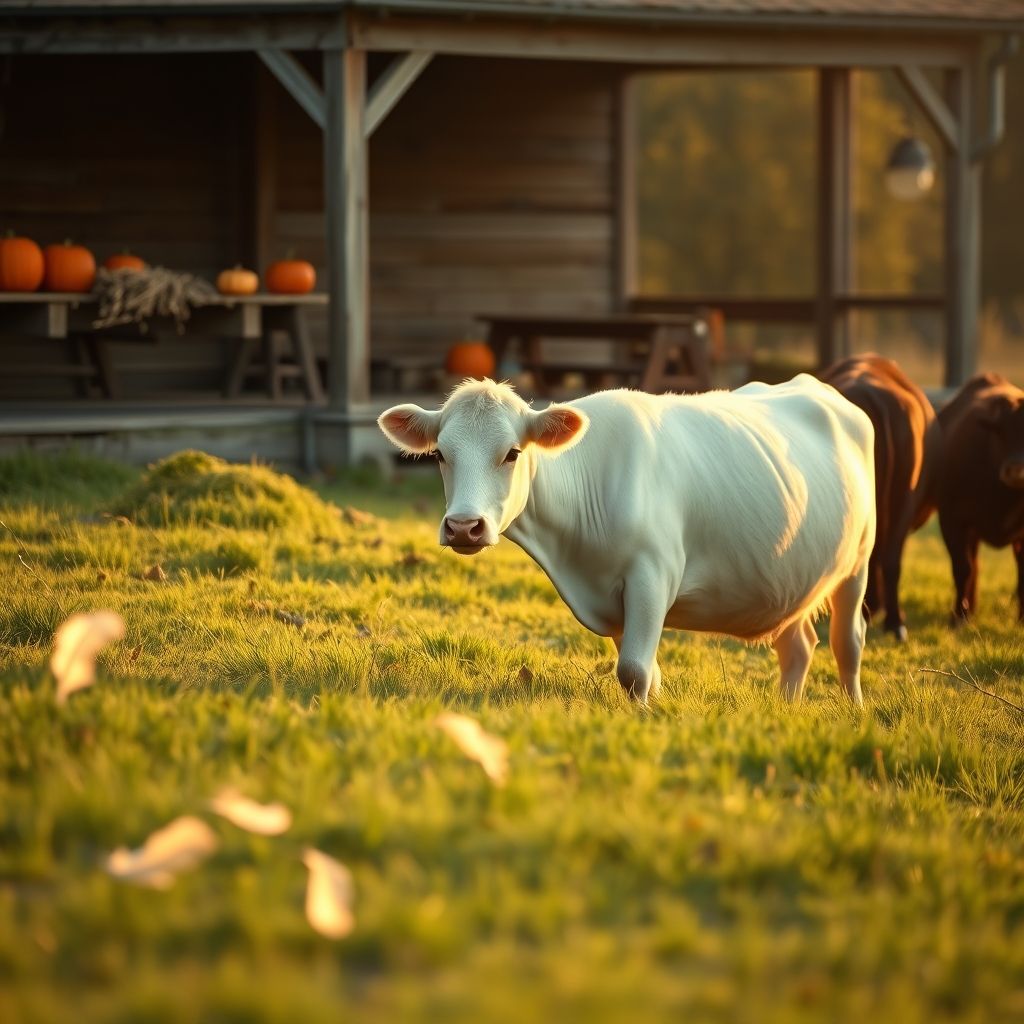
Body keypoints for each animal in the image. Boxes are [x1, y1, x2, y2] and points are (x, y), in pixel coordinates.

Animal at [378, 376, 876, 705]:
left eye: (512, 453)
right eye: (441, 455)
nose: (464, 526)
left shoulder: (653, 575)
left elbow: (634, 671)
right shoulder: (614, 596)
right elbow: (644, 671)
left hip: (858, 562)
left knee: (847, 642)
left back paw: (854, 712)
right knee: (798, 646)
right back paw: (785, 709)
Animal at [935, 372, 1024, 623]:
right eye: (1000, 431)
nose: (1016, 470)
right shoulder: (952, 520)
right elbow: (963, 568)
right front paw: (958, 616)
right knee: (973, 565)